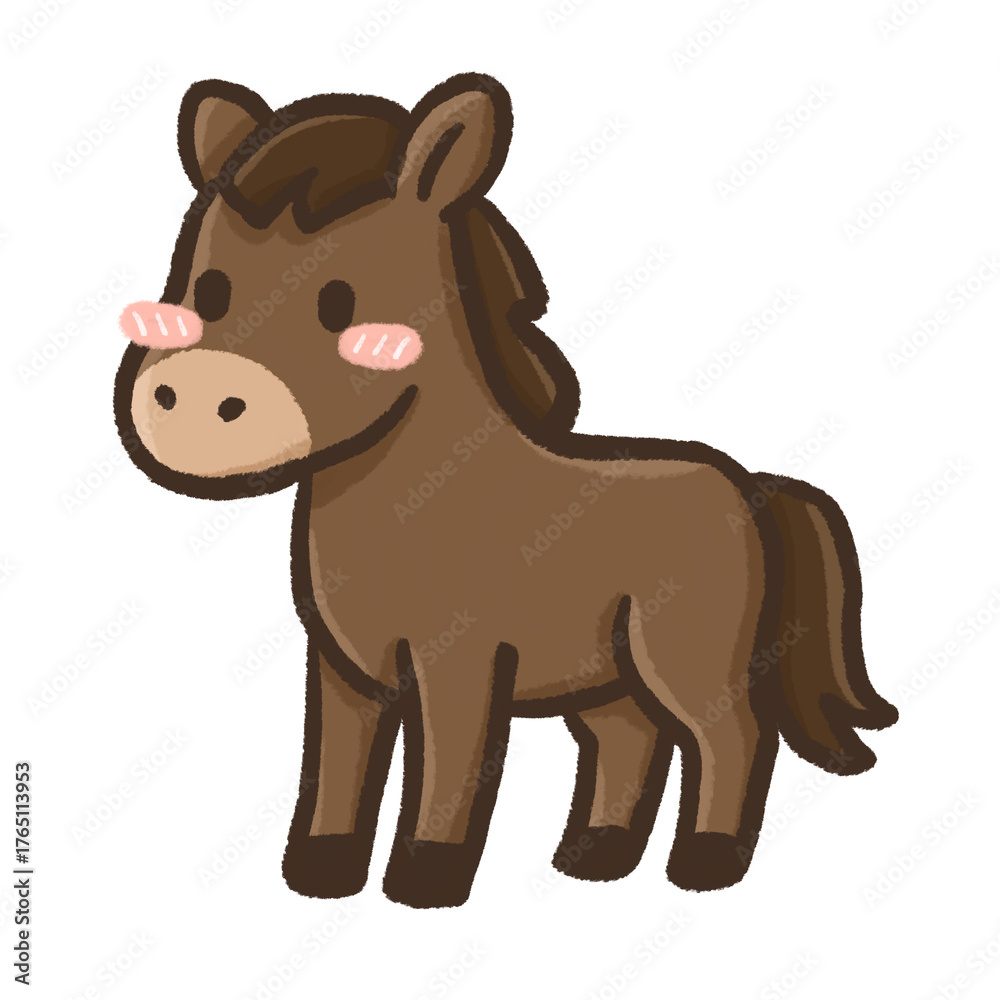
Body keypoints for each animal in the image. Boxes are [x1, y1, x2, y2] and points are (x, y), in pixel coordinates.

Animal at [114, 72, 898, 908]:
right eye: (209, 291)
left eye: (343, 304)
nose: (197, 399)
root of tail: (749, 486)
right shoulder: (342, 670)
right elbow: (336, 771)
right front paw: (320, 873)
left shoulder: (461, 659)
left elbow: (451, 765)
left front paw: (426, 877)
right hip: (608, 675)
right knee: (629, 738)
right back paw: (592, 854)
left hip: (686, 655)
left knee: (733, 735)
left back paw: (706, 863)